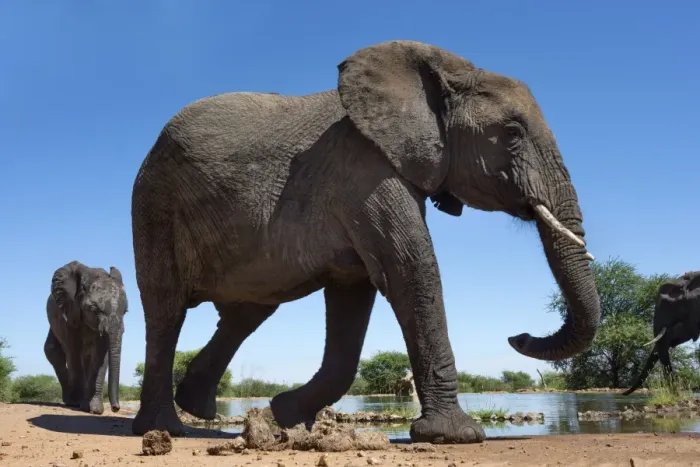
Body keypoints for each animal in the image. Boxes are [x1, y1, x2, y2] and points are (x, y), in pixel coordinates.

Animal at [44, 261, 127, 414]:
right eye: (94, 309)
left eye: (125, 311)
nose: (116, 408)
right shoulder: (69, 312)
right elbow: (73, 351)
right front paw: (79, 404)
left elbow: (100, 355)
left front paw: (94, 409)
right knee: (54, 351)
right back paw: (71, 401)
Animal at [130, 40, 600, 444]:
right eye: (512, 133)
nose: (517, 336)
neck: (442, 74)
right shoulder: (363, 171)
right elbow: (411, 271)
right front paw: (455, 435)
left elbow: (355, 294)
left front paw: (286, 415)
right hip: (154, 202)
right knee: (166, 309)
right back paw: (164, 429)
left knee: (247, 313)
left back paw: (198, 407)